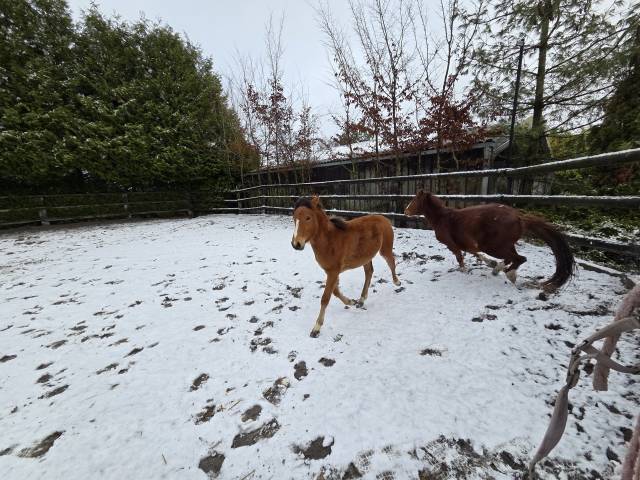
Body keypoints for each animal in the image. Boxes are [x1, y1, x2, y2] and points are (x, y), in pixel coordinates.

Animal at [291, 194, 400, 338]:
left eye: (308, 218)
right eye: (294, 218)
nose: (296, 244)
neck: (329, 240)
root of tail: (384, 218)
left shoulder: (333, 272)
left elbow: (325, 298)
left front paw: (316, 328)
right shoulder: (331, 272)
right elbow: (335, 292)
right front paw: (350, 302)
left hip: (385, 250)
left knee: (391, 261)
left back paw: (397, 282)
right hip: (365, 257)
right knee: (369, 272)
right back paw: (361, 300)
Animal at [404, 190, 575, 291]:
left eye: (414, 200)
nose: (405, 211)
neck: (442, 218)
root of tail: (519, 217)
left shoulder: (453, 244)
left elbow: (461, 256)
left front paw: (465, 270)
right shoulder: (464, 243)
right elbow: (471, 252)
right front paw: (489, 264)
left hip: (493, 246)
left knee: (519, 258)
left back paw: (508, 274)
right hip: (505, 245)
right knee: (513, 258)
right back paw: (499, 270)